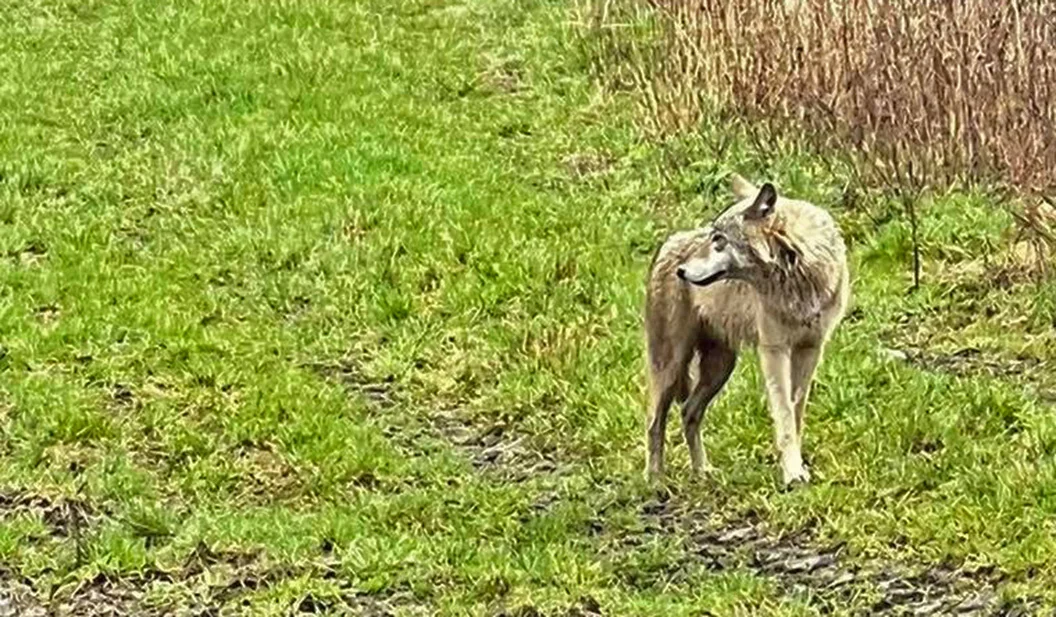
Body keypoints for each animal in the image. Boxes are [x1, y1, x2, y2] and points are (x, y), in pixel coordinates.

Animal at [642, 173, 849, 485]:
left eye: (719, 239)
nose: (681, 271)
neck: (796, 276)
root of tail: (667, 244)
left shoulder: (810, 349)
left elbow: (796, 411)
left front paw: (798, 467)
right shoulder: (773, 350)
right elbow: (784, 414)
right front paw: (792, 473)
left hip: (721, 366)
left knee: (689, 411)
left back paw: (702, 471)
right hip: (671, 366)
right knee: (655, 421)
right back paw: (656, 481)